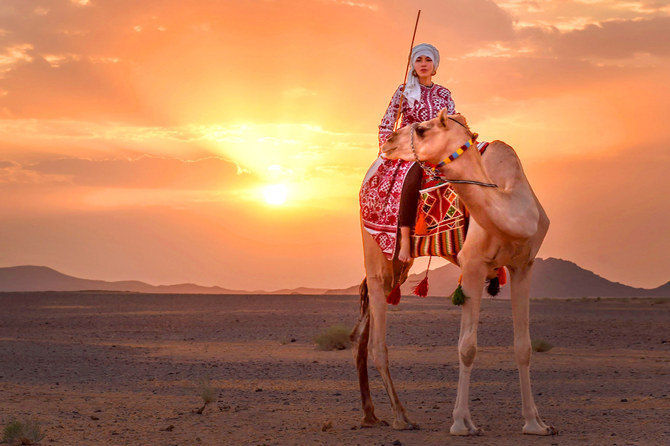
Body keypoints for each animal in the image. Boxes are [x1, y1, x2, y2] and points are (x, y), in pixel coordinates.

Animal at [352, 109, 556, 436]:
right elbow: (467, 347)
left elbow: (523, 347)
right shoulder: (473, 264)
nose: (389, 141)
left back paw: (370, 415)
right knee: (377, 343)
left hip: (399, 266)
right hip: (375, 254)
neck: (515, 202)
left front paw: (535, 423)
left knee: (362, 332)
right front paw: (462, 422)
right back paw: (401, 416)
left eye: (422, 130)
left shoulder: (523, 265)